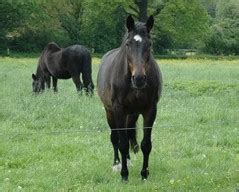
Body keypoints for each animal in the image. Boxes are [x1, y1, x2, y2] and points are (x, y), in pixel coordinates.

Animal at [97, 15, 162, 182]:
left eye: (149, 44)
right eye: (128, 44)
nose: (138, 79)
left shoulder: (150, 110)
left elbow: (146, 144)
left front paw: (144, 174)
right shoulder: (118, 110)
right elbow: (122, 143)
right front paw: (124, 175)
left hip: (132, 114)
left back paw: (127, 160)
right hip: (110, 112)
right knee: (115, 138)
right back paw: (117, 163)